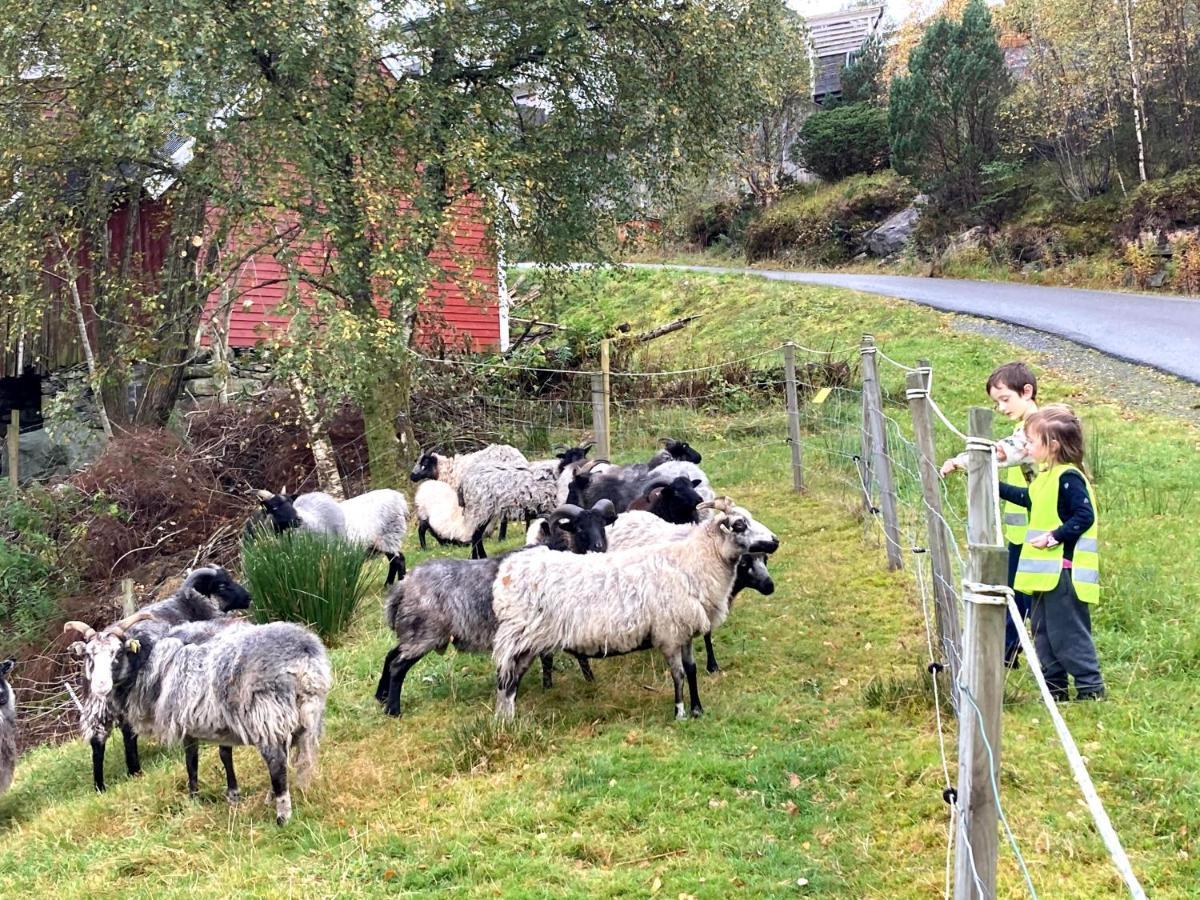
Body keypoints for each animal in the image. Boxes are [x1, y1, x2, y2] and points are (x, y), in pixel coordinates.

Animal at [65, 566, 250, 792]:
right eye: (222, 585)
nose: (248, 597)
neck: (185, 604)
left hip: (98, 707)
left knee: (99, 739)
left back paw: (104, 785)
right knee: (127, 732)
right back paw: (134, 770)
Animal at [68, 619, 331, 830]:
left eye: (117, 653)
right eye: (89, 656)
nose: (100, 686)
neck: (149, 660)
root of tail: (304, 657)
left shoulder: (184, 719)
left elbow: (191, 760)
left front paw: (193, 796)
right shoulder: (220, 720)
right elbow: (224, 755)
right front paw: (232, 794)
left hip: (267, 714)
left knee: (277, 763)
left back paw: (282, 816)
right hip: (305, 714)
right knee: (296, 755)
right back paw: (283, 794)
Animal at [250, 489, 410, 588]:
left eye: (291, 502)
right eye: (274, 507)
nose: (298, 519)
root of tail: (399, 499)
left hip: (389, 536)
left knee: (399, 560)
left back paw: (398, 583)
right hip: (384, 541)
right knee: (394, 561)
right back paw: (388, 585)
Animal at [376, 501, 619, 720]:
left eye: (602, 524)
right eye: (579, 527)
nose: (599, 548)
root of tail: (403, 586)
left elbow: (548, 658)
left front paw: (550, 685)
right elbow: (573, 656)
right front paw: (587, 681)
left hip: (414, 632)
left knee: (390, 655)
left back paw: (381, 697)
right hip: (425, 634)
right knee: (398, 666)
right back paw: (393, 710)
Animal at [489, 504, 777, 724]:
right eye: (739, 525)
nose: (775, 541)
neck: (693, 562)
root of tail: (507, 572)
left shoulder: (684, 632)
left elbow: (692, 670)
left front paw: (697, 709)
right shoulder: (669, 633)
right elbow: (678, 675)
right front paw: (680, 713)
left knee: (509, 683)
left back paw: (506, 720)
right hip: (520, 639)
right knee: (507, 683)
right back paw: (507, 721)